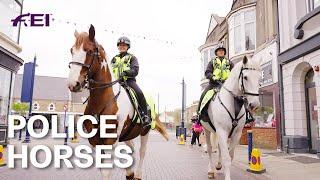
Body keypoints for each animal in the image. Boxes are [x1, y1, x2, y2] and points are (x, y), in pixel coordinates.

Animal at [66, 25, 169, 180]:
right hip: (127, 134)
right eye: (72, 50)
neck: (102, 100)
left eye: (89, 51)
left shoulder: (110, 140)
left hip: (145, 131)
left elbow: (106, 171)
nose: (73, 84)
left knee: (142, 151)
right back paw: (130, 173)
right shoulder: (94, 141)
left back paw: (137, 174)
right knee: (131, 149)